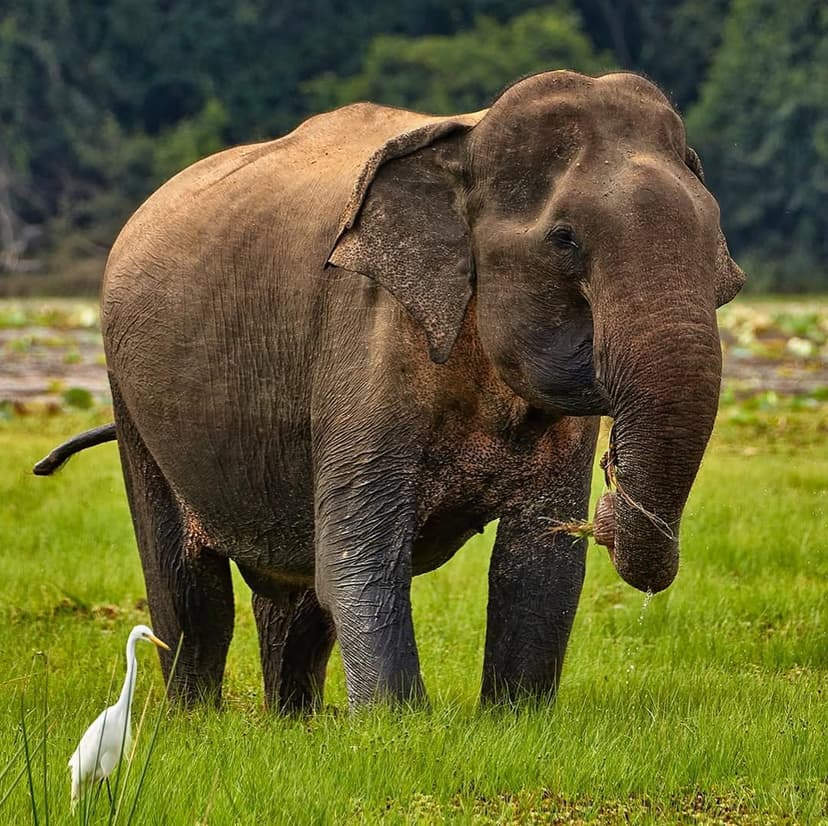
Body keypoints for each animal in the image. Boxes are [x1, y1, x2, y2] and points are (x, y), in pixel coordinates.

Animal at [36, 70, 744, 712]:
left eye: (714, 228)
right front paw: (398, 725)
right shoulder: (366, 333)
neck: (466, 140)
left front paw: (515, 720)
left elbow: (540, 562)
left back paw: (293, 722)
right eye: (564, 238)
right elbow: (359, 555)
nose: (610, 505)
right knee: (188, 587)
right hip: (130, 396)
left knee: (293, 593)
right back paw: (195, 722)